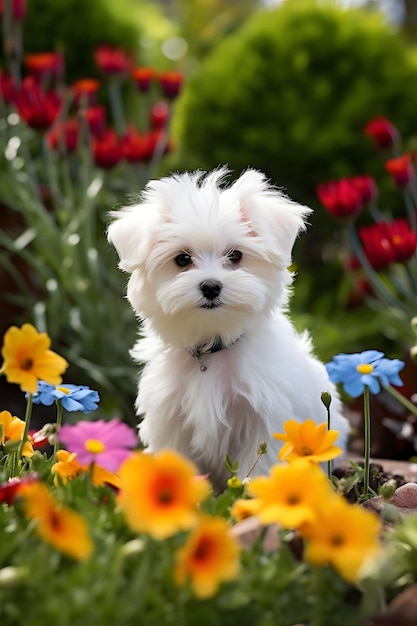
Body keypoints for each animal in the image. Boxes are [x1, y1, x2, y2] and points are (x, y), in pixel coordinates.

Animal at [107, 168, 348, 490]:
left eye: (235, 255)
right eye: (182, 259)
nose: (210, 286)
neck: (213, 345)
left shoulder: (263, 417)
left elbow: (259, 462)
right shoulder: (171, 419)